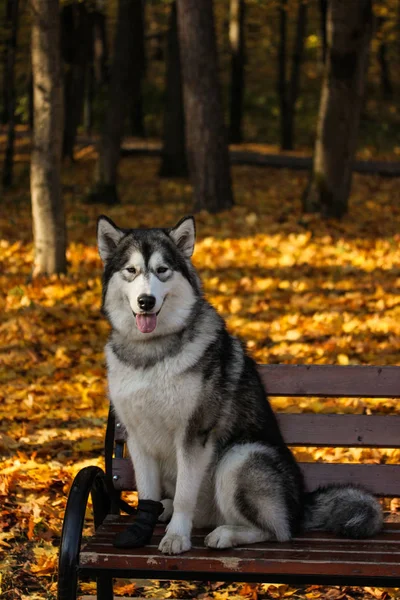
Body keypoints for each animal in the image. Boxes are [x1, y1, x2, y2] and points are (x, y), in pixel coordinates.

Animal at [97, 213, 384, 556]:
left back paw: (227, 534)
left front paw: (177, 536)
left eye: (162, 270)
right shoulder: (137, 436)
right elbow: (146, 494)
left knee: (278, 531)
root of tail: (301, 505)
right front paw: (143, 527)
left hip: (239, 457)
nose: (146, 301)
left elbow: (184, 496)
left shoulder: (194, 433)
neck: (151, 353)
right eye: (131, 271)